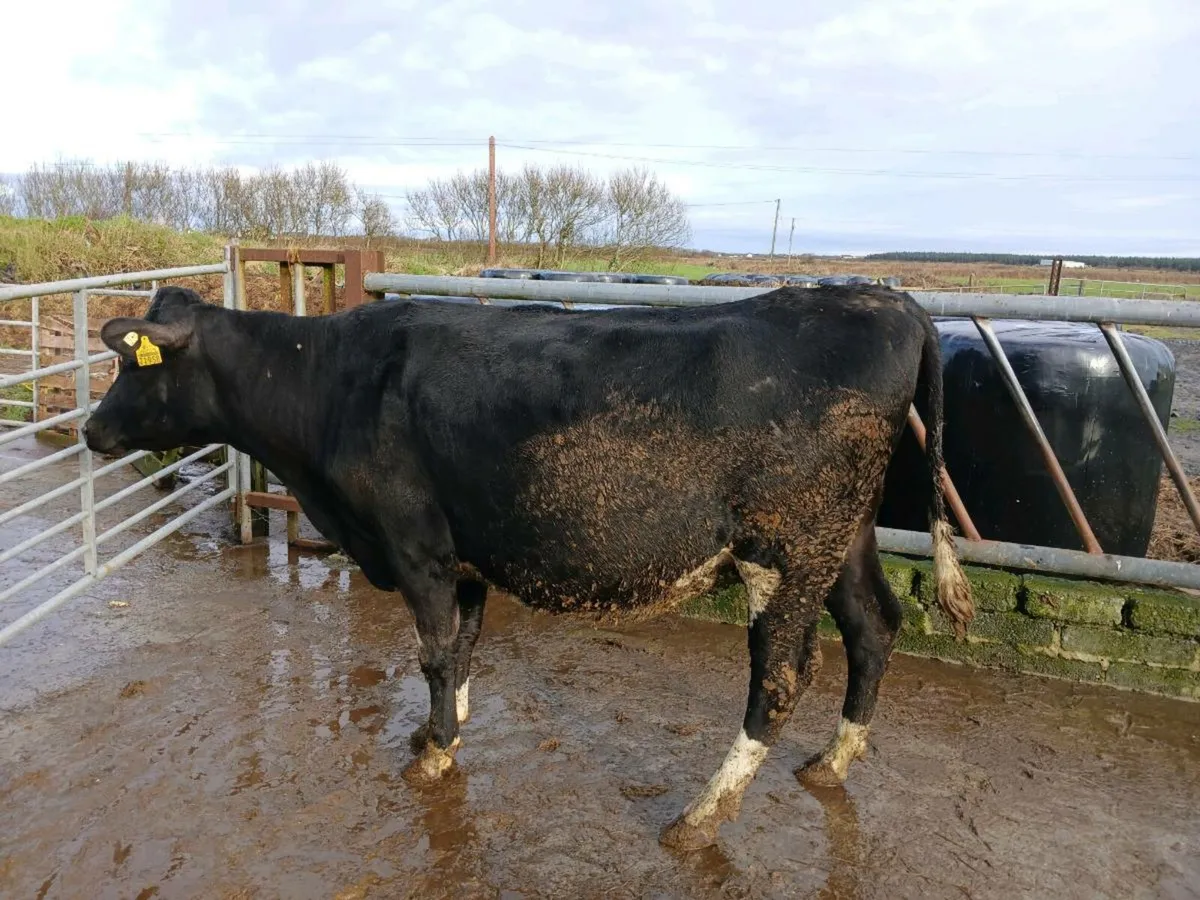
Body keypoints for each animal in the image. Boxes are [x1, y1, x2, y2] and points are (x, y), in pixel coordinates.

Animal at [84, 282, 974, 851]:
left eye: (132, 364)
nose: (90, 429)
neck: (330, 382)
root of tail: (886, 300)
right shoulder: (466, 552)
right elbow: (463, 647)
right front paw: (436, 728)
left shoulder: (416, 546)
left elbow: (433, 652)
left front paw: (436, 752)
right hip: (844, 538)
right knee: (874, 626)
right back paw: (832, 762)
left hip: (785, 549)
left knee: (781, 680)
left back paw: (700, 817)